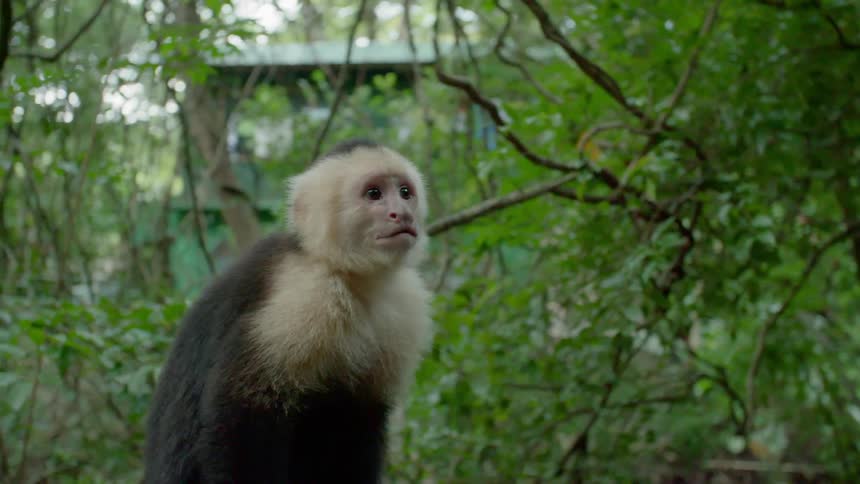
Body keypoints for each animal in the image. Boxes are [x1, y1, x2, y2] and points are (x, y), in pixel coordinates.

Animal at [143, 139, 434, 484]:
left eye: (405, 192)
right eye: (374, 193)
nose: (401, 213)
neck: (348, 273)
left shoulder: (404, 306)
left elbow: (362, 419)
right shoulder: (303, 296)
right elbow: (240, 417)